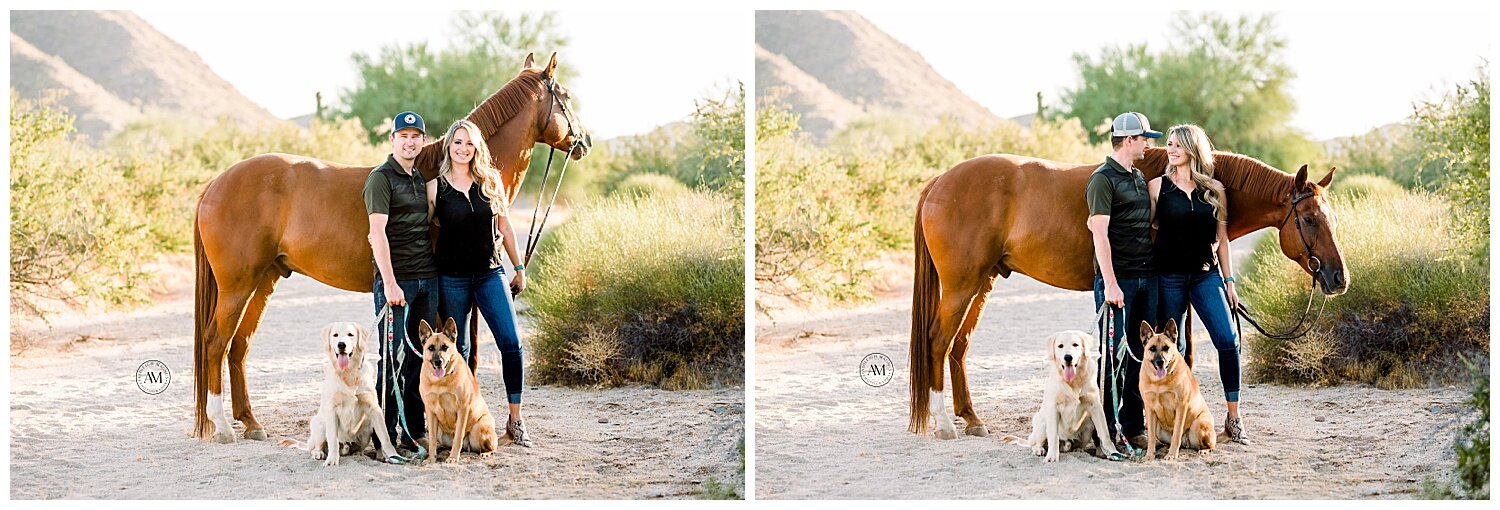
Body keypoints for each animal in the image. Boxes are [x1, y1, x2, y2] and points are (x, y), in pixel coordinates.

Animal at [198, 52, 591, 441]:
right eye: (567, 96)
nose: (584, 141)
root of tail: (215, 183)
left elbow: (462, 353)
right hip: (238, 285)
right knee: (216, 342)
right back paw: (222, 425)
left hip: (264, 280)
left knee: (239, 346)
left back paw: (251, 422)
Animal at [906, 146, 1356, 438]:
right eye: (1309, 219)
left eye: (1331, 217)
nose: (1339, 278)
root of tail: (938, 182)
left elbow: (1185, 352)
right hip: (962, 286)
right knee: (938, 341)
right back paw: (945, 424)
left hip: (982, 283)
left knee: (959, 347)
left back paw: (971, 418)